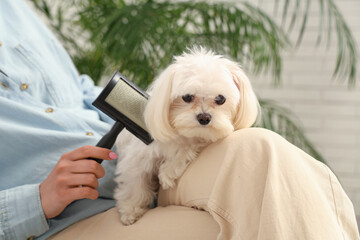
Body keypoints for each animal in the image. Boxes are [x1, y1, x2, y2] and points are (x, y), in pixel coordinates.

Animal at [114, 46, 258, 225]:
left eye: (221, 99)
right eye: (187, 97)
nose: (204, 118)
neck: (182, 135)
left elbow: (186, 150)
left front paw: (167, 173)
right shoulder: (138, 157)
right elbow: (134, 183)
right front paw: (131, 210)